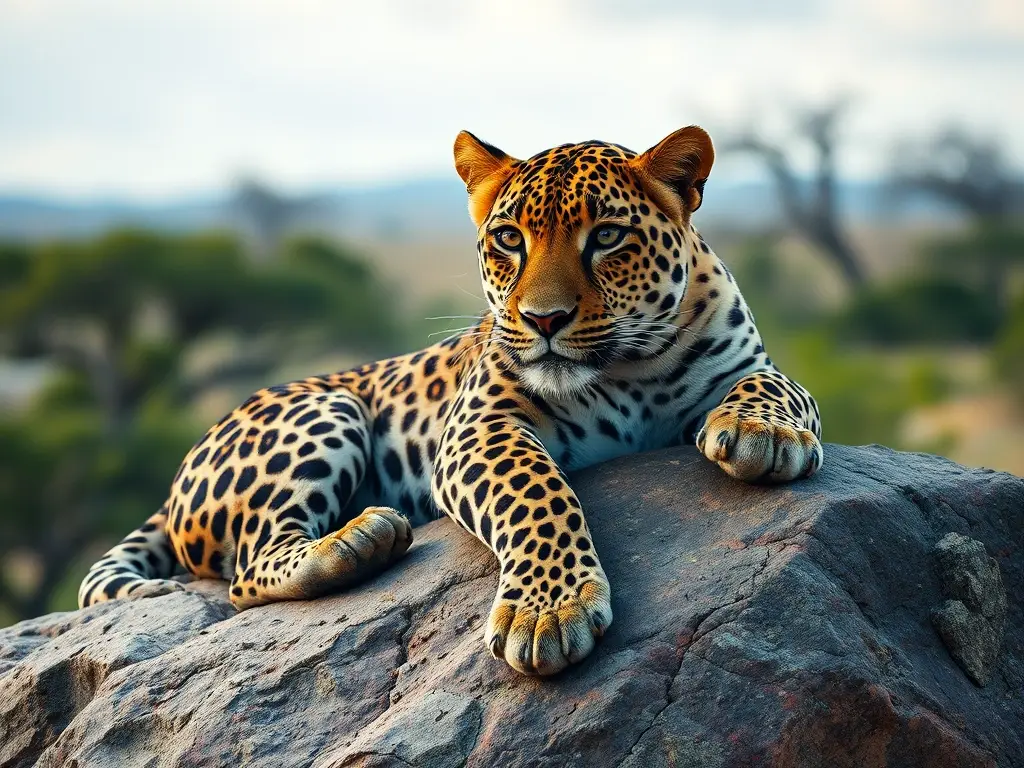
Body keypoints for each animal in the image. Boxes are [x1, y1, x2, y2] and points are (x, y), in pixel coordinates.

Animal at [79, 125, 823, 676]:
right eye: (509, 239)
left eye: (607, 237)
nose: (544, 320)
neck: (628, 370)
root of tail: (176, 480)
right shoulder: (480, 426)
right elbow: (537, 492)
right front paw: (547, 612)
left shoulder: (751, 364)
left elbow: (780, 387)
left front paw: (763, 432)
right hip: (324, 412)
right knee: (247, 570)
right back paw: (359, 540)